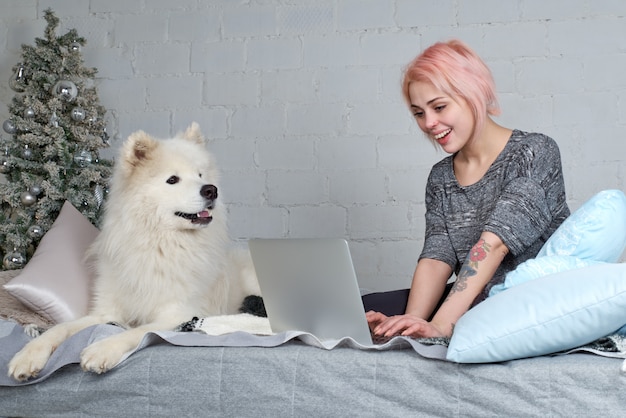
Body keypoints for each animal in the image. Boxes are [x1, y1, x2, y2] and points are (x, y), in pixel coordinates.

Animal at [7, 122, 256, 380]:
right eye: (173, 179)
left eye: (200, 175)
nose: (211, 190)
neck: (157, 243)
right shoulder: (105, 313)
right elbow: (60, 328)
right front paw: (28, 355)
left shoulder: (178, 315)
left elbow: (137, 332)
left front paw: (101, 350)